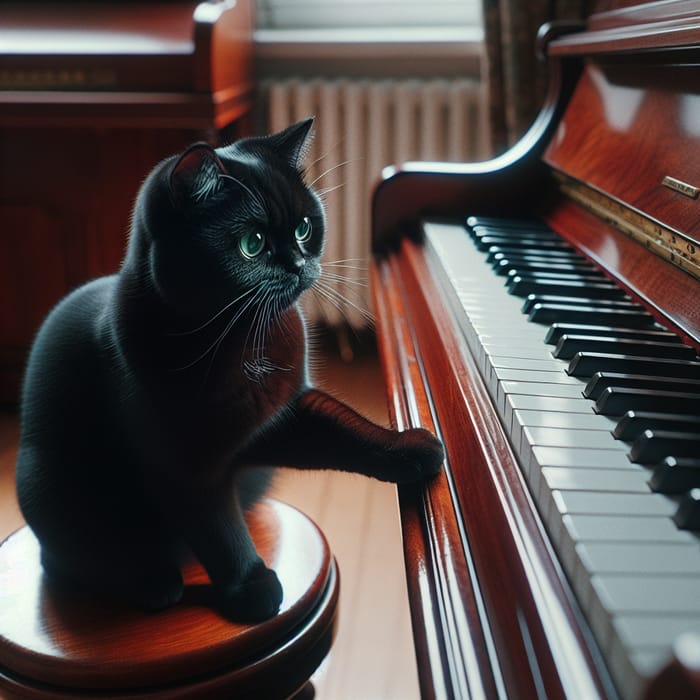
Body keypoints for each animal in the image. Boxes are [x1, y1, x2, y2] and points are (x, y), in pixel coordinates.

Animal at [15, 117, 442, 620]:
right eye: (251, 245)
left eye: (303, 228)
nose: (298, 263)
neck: (247, 338)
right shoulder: (184, 465)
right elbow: (219, 530)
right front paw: (252, 587)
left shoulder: (277, 418)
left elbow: (347, 429)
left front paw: (411, 449)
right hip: (48, 485)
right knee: (70, 555)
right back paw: (151, 581)